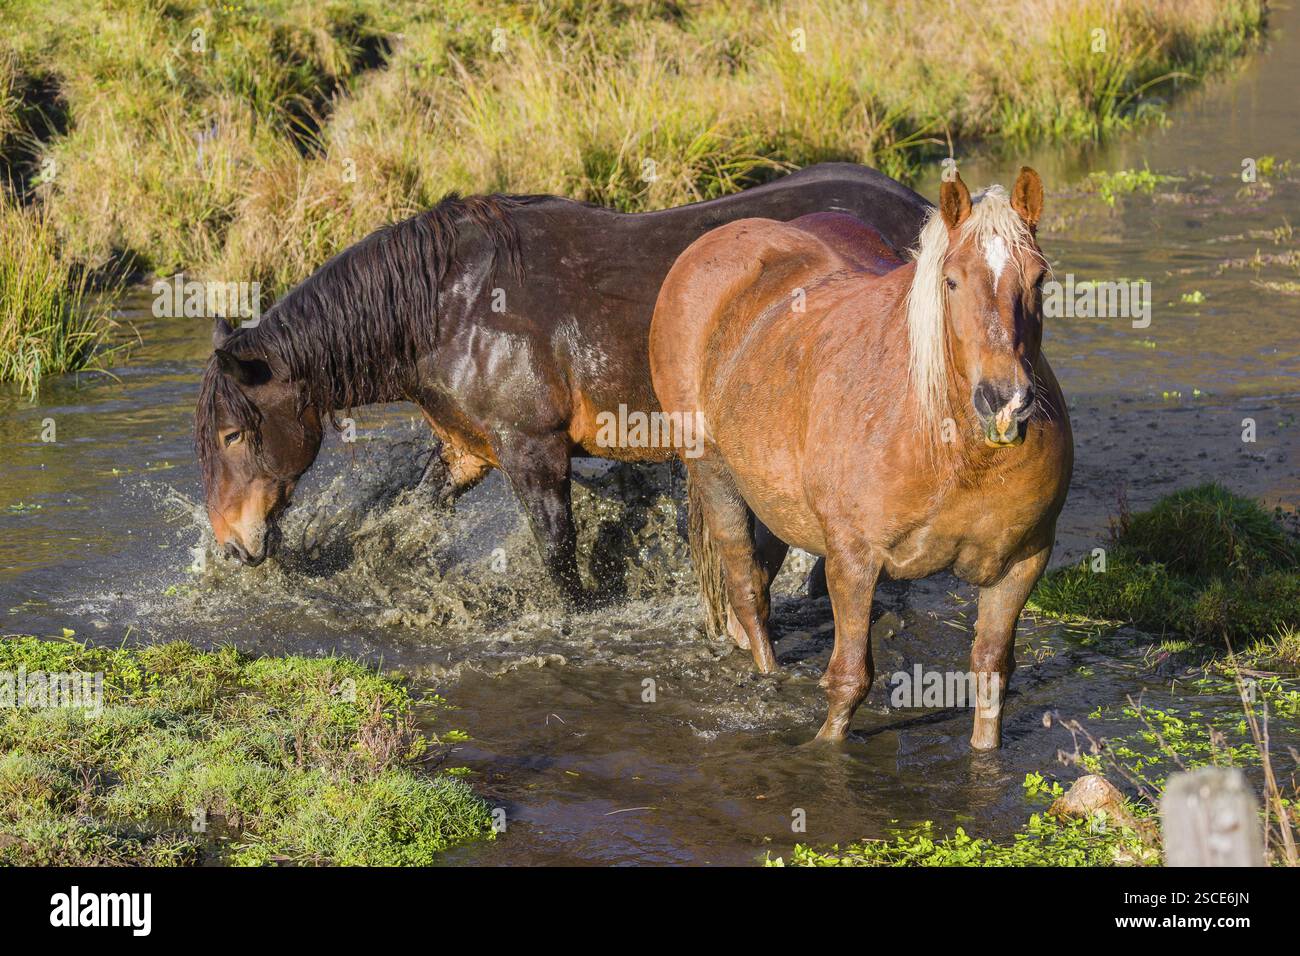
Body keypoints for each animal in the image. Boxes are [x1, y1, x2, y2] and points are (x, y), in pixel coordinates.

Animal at [195, 163, 930, 605]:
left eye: (233, 434)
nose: (231, 543)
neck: (450, 308)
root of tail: (921, 210)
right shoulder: (467, 452)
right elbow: (416, 514)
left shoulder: (534, 448)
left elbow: (558, 555)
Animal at [648, 168, 1073, 748]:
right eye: (952, 281)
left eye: (1038, 279)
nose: (1004, 401)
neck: (953, 453)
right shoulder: (853, 560)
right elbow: (849, 680)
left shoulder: (1022, 562)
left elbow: (991, 676)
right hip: (713, 471)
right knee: (746, 589)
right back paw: (768, 674)